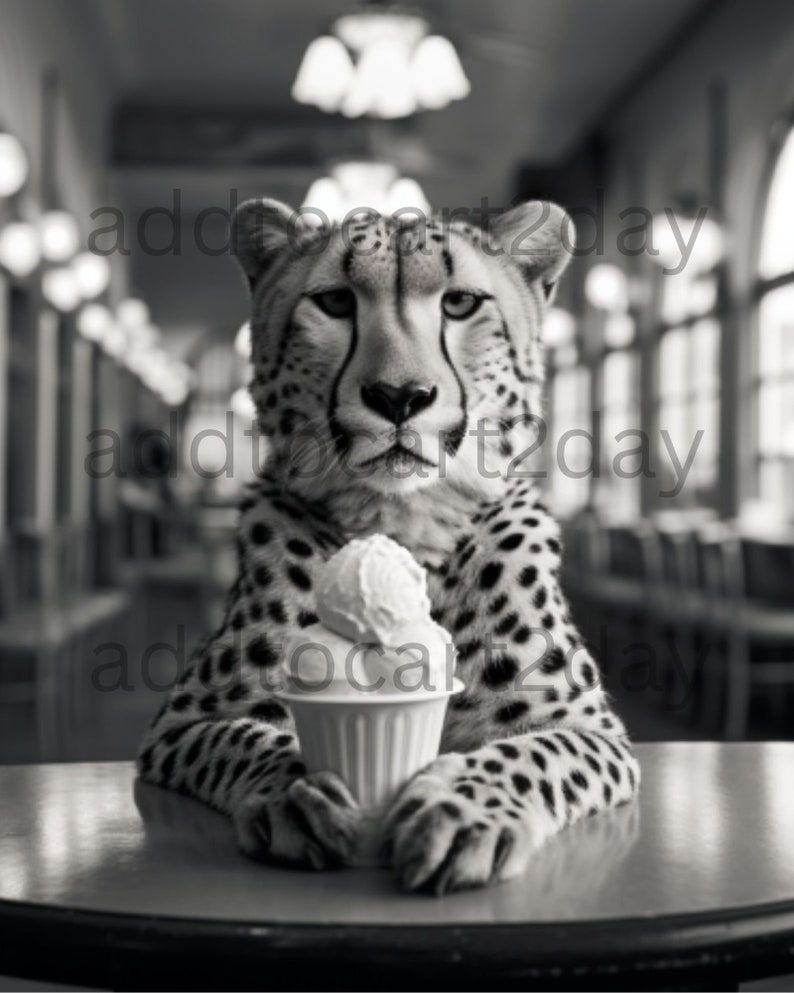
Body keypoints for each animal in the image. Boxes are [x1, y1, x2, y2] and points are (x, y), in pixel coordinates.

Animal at [136, 197, 640, 895]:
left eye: (460, 303)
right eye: (334, 302)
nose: (399, 395)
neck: (403, 527)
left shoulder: (588, 726)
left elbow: (533, 753)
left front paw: (461, 808)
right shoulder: (183, 723)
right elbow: (246, 738)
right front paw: (300, 790)